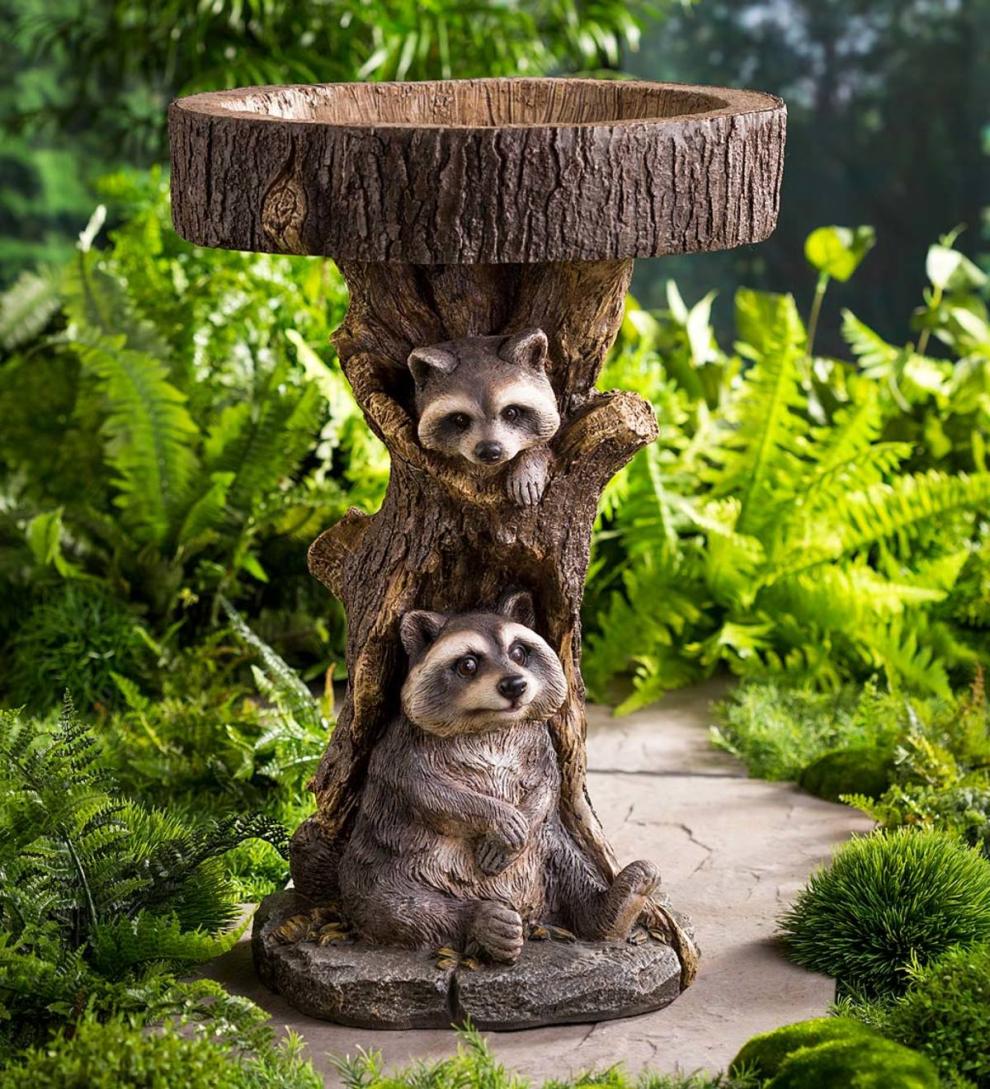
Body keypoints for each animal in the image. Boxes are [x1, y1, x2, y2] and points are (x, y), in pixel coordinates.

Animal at [337, 591, 660, 963]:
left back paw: (616, 904)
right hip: (377, 866)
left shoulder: (540, 742)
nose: (514, 684)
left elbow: (547, 786)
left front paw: (523, 819)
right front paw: (498, 818)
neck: (490, 725)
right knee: (393, 906)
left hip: (548, 852)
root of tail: (526, 911)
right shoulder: (401, 748)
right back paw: (485, 923)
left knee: (572, 871)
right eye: (467, 664)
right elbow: (430, 793)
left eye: (519, 652)